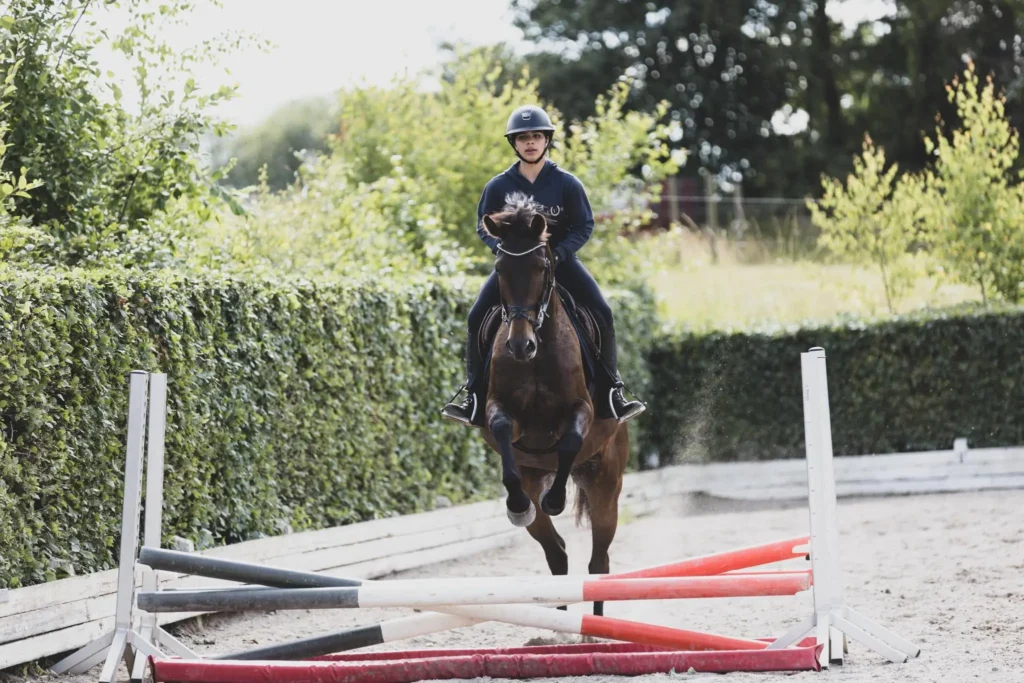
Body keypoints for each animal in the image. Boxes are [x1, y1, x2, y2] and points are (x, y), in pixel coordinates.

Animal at [475, 194, 626, 618]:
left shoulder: (580, 412)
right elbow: (502, 429)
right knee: (556, 553)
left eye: (542, 266)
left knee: (599, 560)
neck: (537, 356)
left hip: (606, 484)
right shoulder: (501, 412)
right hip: (535, 476)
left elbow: (571, 439)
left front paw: (555, 499)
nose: (519, 345)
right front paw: (517, 505)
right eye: (500, 268)